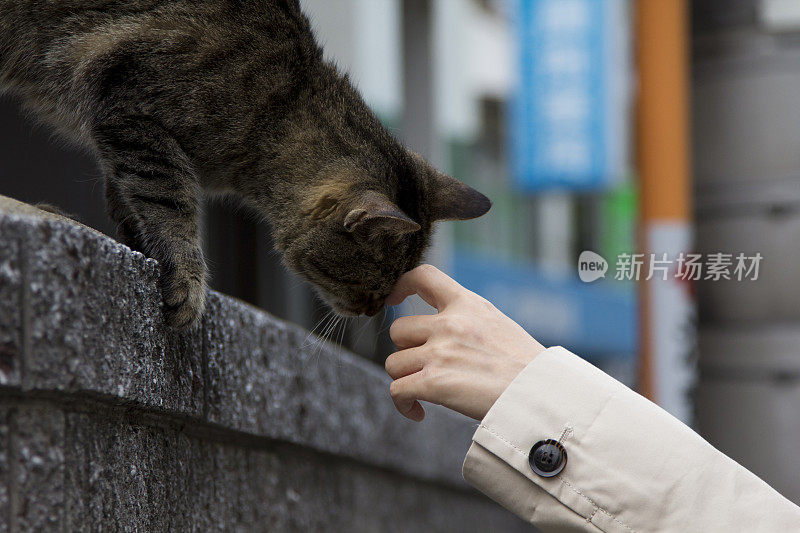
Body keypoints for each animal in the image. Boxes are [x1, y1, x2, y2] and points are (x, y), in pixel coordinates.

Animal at [0, 0, 490, 326]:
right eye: (375, 283)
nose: (373, 312)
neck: (281, 103)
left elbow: (124, 191)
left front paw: (138, 240)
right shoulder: (129, 106)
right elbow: (169, 199)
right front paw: (187, 277)